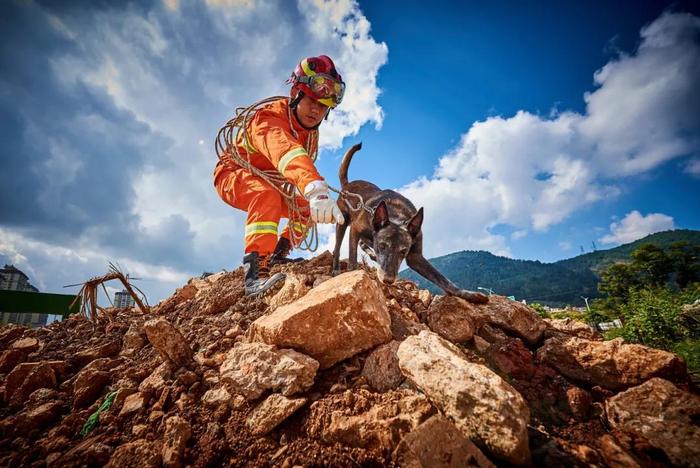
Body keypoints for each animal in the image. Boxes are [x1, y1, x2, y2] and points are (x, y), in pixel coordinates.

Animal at [332, 143, 486, 304]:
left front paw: (468, 294)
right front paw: (351, 274)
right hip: (342, 222)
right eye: (382, 246)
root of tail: (347, 185)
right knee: (338, 247)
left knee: (363, 243)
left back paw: (371, 254)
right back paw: (336, 268)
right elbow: (352, 257)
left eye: (403, 251)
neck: (395, 216)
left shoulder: (415, 257)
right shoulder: (355, 229)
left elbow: (442, 278)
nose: (388, 280)